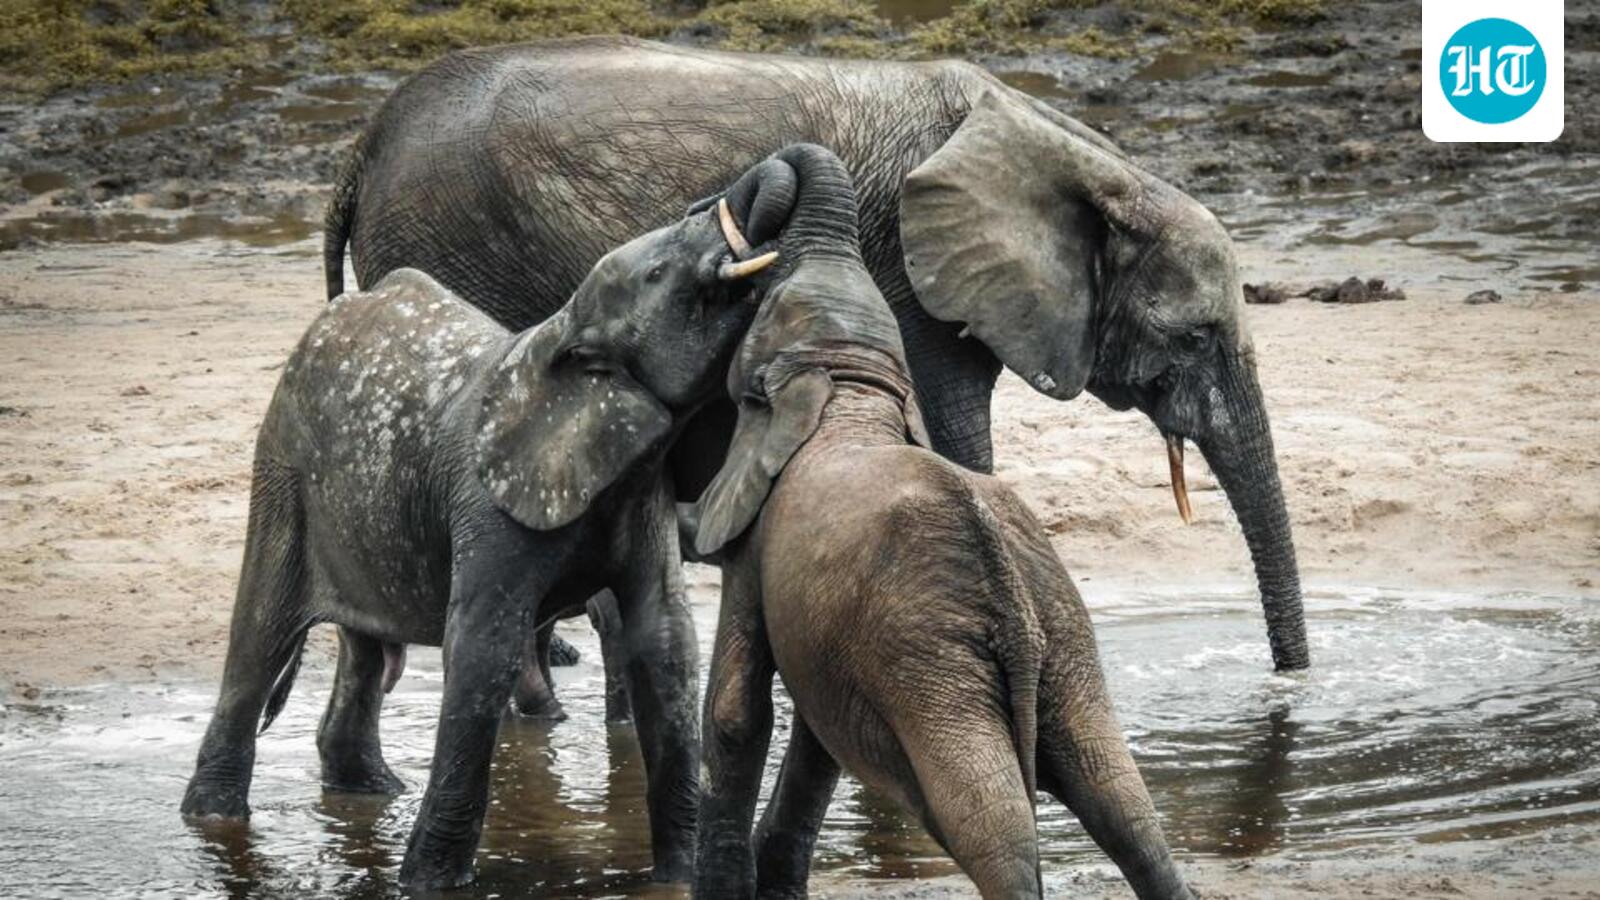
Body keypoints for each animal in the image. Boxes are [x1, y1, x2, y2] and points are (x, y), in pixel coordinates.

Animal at [179, 151, 800, 889]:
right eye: (658, 273)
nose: (728, 199)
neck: (561, 333)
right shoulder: (486, 503)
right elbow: (483, 652)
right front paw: (426, 885)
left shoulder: (639, 489)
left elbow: (665, 643)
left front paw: (675, 881)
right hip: (282, 471)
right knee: (260, 636)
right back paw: (213, 823)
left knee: (362, 651)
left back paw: (370, 792)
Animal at [324, 35, 1309, 671]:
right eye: (1194, 336)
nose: (1288, 680)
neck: (1085, 167)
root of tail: (360, 150)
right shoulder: (911, 274)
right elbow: (958, 438)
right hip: (452, 240)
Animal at [685, 144, 1192, 900]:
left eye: (765, 308)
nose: (718, 215)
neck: (848, 384)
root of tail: (1014, 605)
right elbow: (816, 738)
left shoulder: (755, 537)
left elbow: (736, 714)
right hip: (1063, 642)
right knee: (1122, 804)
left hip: (932, 667)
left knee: (990, 820)